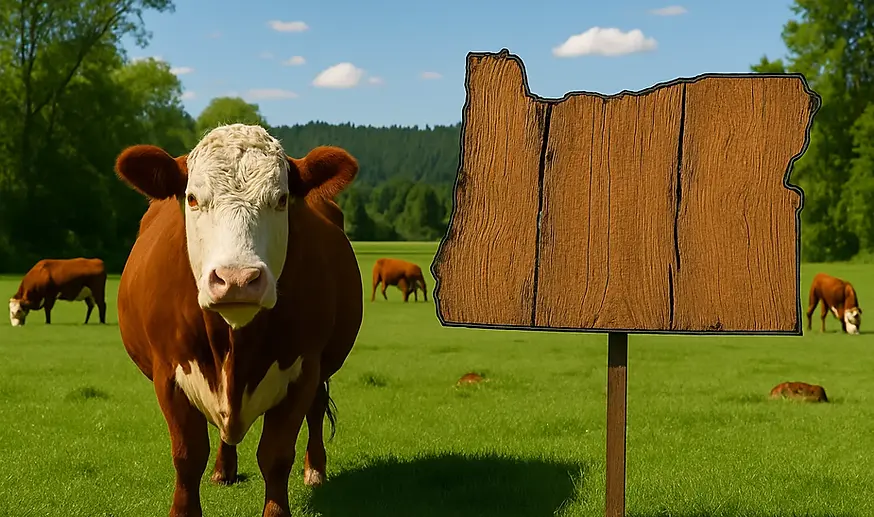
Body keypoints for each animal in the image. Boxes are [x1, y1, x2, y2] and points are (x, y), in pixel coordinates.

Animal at [113, 123, 363, 517]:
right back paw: (224, 469)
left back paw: (315, 470)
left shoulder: (304, 367)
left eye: (281, 199)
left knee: (316, 410)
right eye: (193, 198)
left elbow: (276, 455)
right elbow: (187, 456)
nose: (237, 279)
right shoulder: (167, 372)